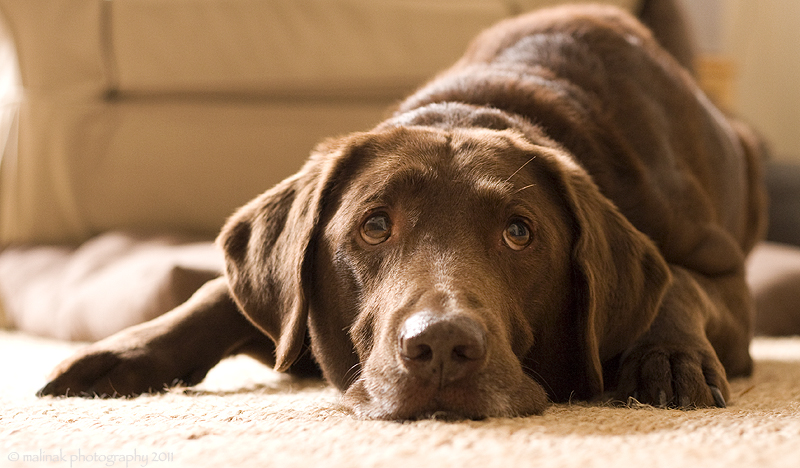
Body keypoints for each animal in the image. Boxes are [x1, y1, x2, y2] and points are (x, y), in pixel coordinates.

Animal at [39, 5, 768, 418]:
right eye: (374, 226)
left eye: (519, 233)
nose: (441, 346)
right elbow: (221, 294)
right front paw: (121, 353)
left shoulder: (728, 282)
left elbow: (680, 284)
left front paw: (666, 357)